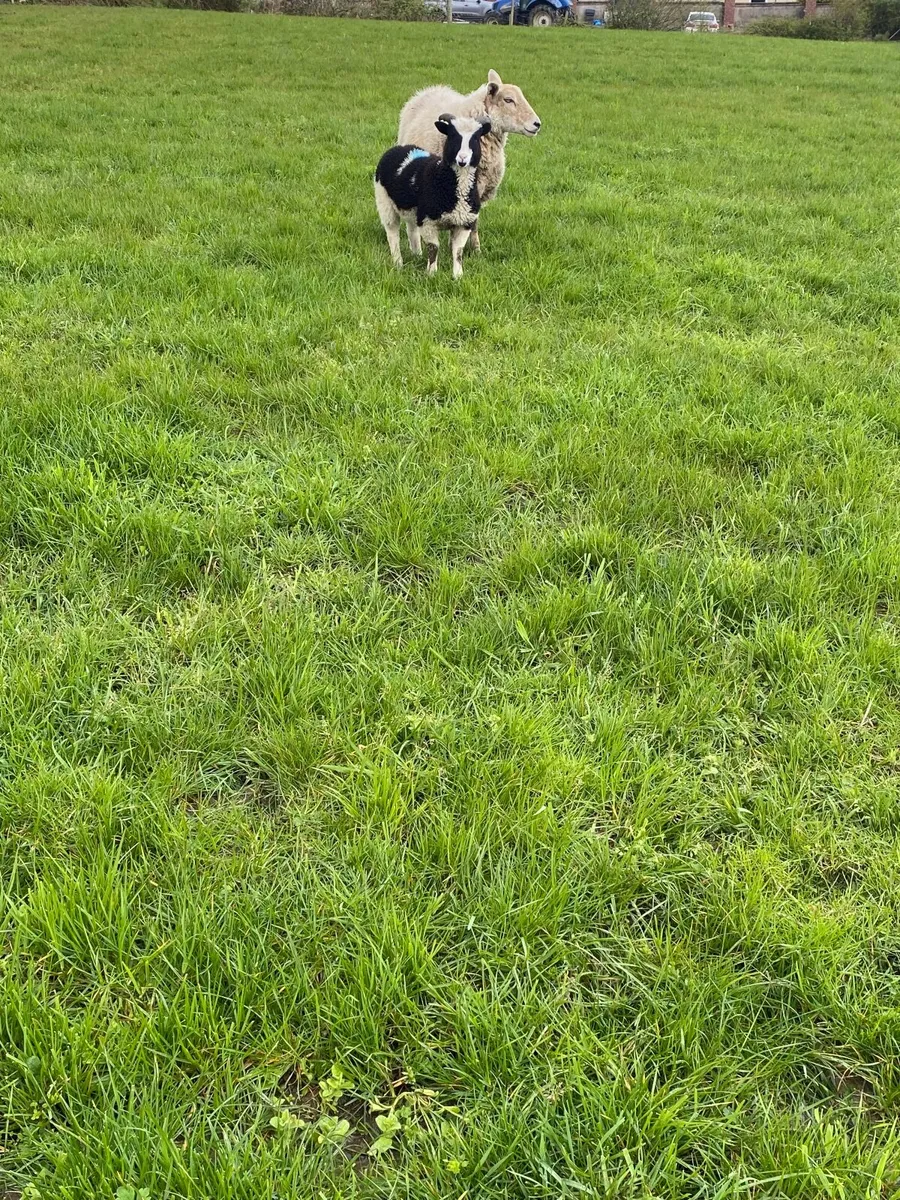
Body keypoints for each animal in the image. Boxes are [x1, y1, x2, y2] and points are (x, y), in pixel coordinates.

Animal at [374, 114, 491, 280]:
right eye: (452, 136)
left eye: (475, 138)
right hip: (384, 202)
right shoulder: (427, 221)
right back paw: (398, 263)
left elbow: (458, 251)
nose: (462, 159)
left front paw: (458, 276)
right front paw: (431, 274)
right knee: (392, 233)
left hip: (413, 212)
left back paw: (416, 254)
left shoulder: (464, 222)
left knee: (411, 230)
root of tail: (401, 148)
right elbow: (434, 248)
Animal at [397, 70, 540, 255]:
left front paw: (474, 249)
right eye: (508, 100)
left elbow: (473, 221)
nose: (537, 124)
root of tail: (430, 89)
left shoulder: (479, 188)